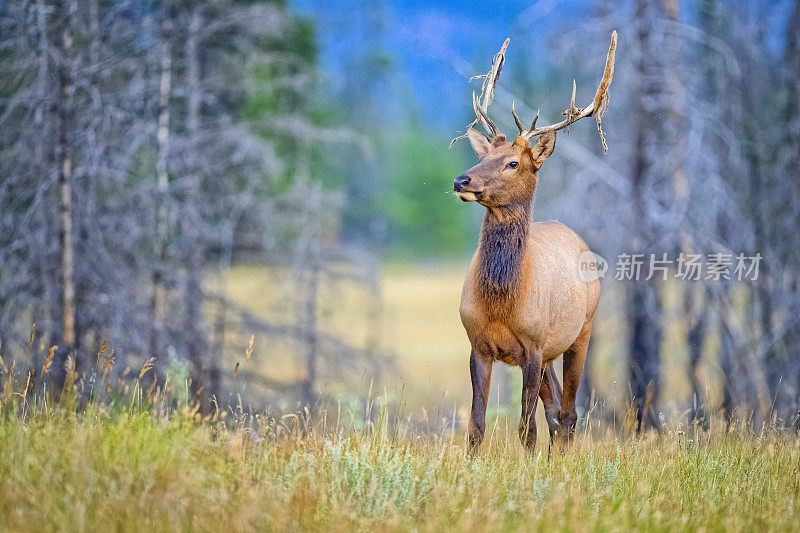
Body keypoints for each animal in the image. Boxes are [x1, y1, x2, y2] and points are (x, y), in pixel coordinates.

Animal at [450, 31, 620, 450]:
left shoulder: (533, 343)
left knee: (569, 412)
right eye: (483, 156)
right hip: (549, 354)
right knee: (557, 411)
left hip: (580, 331)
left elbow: (525, 428)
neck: (501, 301)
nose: (462, 181)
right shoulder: (478, 344)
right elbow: (476, 426)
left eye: (513, 162)